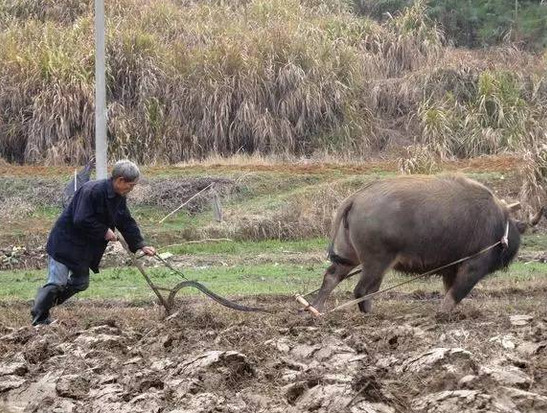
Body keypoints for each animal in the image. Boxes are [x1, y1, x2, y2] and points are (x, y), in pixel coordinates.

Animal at [312, 173, 544, 312]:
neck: (500, 224)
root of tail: (356, 198)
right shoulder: (473, 266)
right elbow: (455, 294)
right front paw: (442, 314)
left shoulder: (451, 269)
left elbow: (449, 290)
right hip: (376, 263)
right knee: (362, 290)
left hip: (349, 256)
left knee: (332, 277)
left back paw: (316, 309)